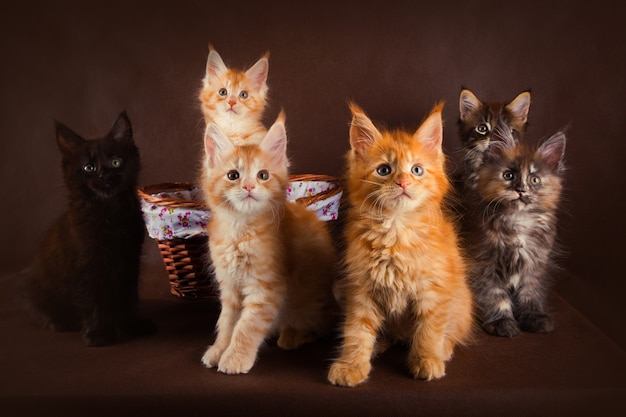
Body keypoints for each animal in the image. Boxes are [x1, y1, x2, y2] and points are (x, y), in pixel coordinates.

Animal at [200, 114, 336, 374]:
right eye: (233, 175)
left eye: (262, 175)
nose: (249, 187)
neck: (240, 231)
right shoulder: (230, 287)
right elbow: (226, 323)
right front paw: (219, 349)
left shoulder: (266, 286)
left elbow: (246, 326)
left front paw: (235, 358)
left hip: (307, 305)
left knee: (319, 327)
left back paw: (291, 335)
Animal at [330, 102, 470, 386]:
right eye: (384, 170)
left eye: (416, 170)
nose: (403, 182)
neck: (395, 230)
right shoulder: (360, 289)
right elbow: (356, 331)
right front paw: (352, 365)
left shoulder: (434, 289)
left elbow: (429, 328)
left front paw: (426, 359)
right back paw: (380, 343)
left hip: (461, 298)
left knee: (452, 329)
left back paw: (443, 349)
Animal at [464, 125, 564, 336]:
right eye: (508, 175)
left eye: (534, 180)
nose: (521, 190)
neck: (519, 220)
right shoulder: (483, 262)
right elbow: (493, 294)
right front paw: (501, 321)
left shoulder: (536, 264)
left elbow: (530, 293)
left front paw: (534, 317)